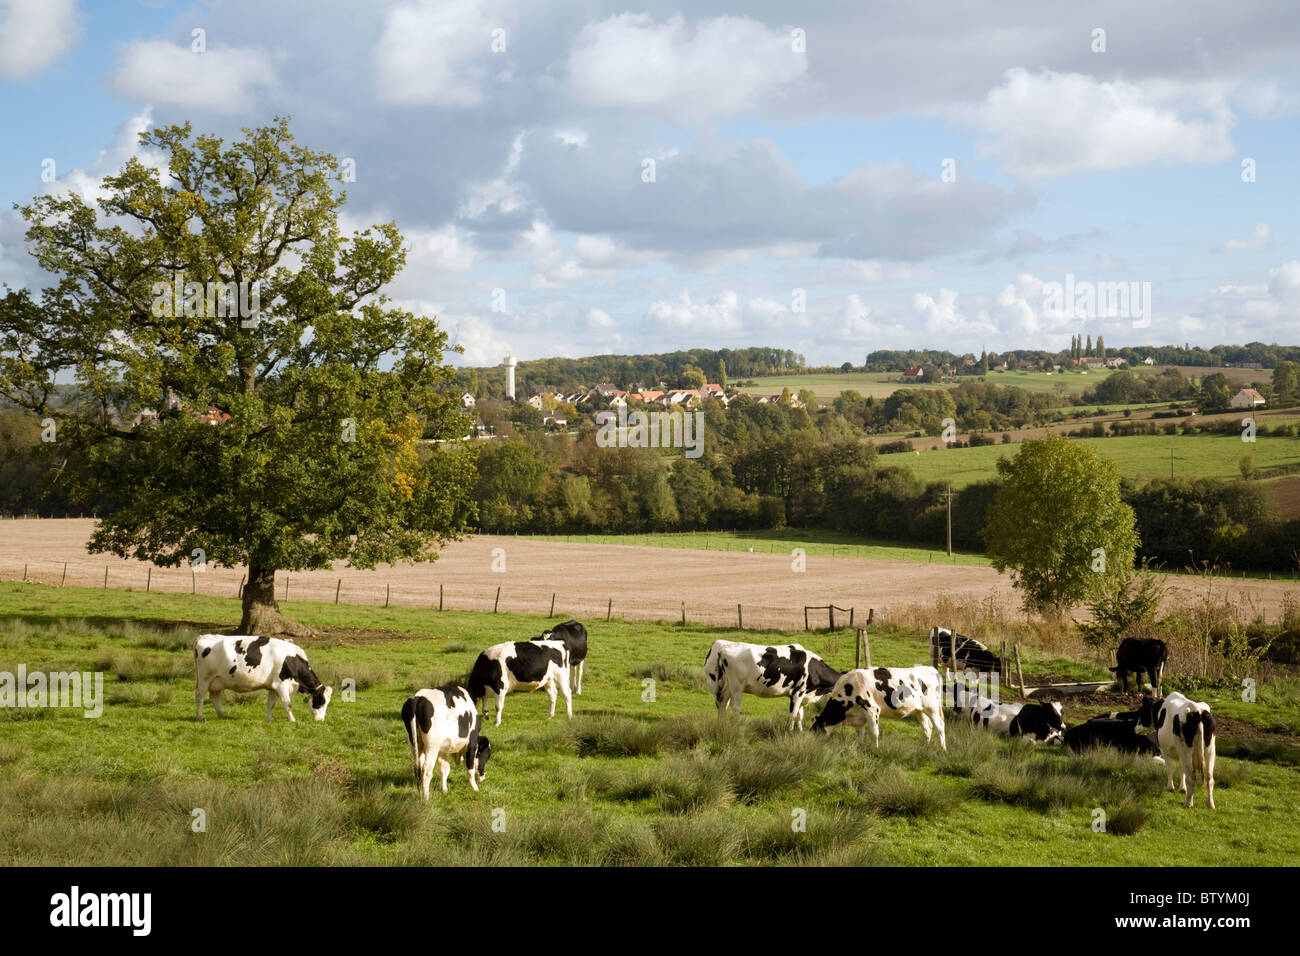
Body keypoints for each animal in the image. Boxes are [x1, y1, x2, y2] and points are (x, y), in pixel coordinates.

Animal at [195, 634, 335, 723]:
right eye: (321, 701)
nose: (321, 720)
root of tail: (204, 637)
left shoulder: (273, 687)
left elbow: (270, 705)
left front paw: (269, 720)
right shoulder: (281, 685)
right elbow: (288, 704)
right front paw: (292, 720)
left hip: (216, 682)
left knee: (214, 698)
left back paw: (221, 716)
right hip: (204, 679)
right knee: (200, 696)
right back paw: (199, 717)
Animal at [707, 642, 847, 733]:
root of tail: (724, 649)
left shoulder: (803, 695)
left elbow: (800, 715)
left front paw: (800, 732)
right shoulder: (797, 693)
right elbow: (793, 714)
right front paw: (790, 732)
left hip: (727, 686)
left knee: (722, 704)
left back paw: (722, 725)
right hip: (737, 686)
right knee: (735, 707)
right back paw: (736, 726)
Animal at [811, 665, 946, 749]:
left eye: (815, 731)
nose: (812, 744)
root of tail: (931, 669)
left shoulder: (872, 709)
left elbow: (874, 733)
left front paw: (875, 749)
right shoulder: (858, 717)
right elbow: (860, 733)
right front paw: (860, 746)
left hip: (932, 708)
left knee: (939, 727)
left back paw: (942, 749)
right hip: (919, 710)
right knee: (927, 728)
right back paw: (925, 748)